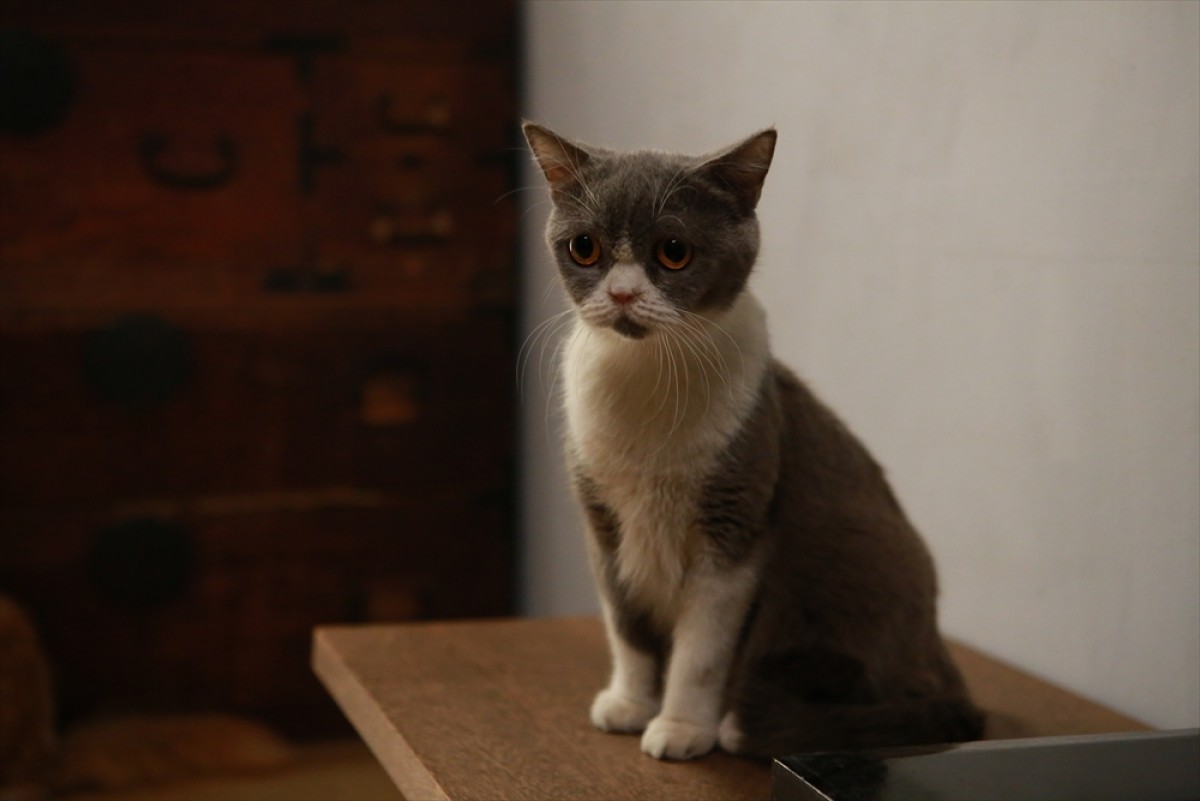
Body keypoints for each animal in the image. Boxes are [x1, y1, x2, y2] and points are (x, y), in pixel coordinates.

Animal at [523, 122, 984, 761]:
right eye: (584, 248)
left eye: (673, 251)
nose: (621, 294)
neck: (650, 378)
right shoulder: (604, 524)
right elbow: (628, 628)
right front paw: (631, 704)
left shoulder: (736, 526)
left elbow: (701, 650)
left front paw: (681, 728)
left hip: (853, 557)